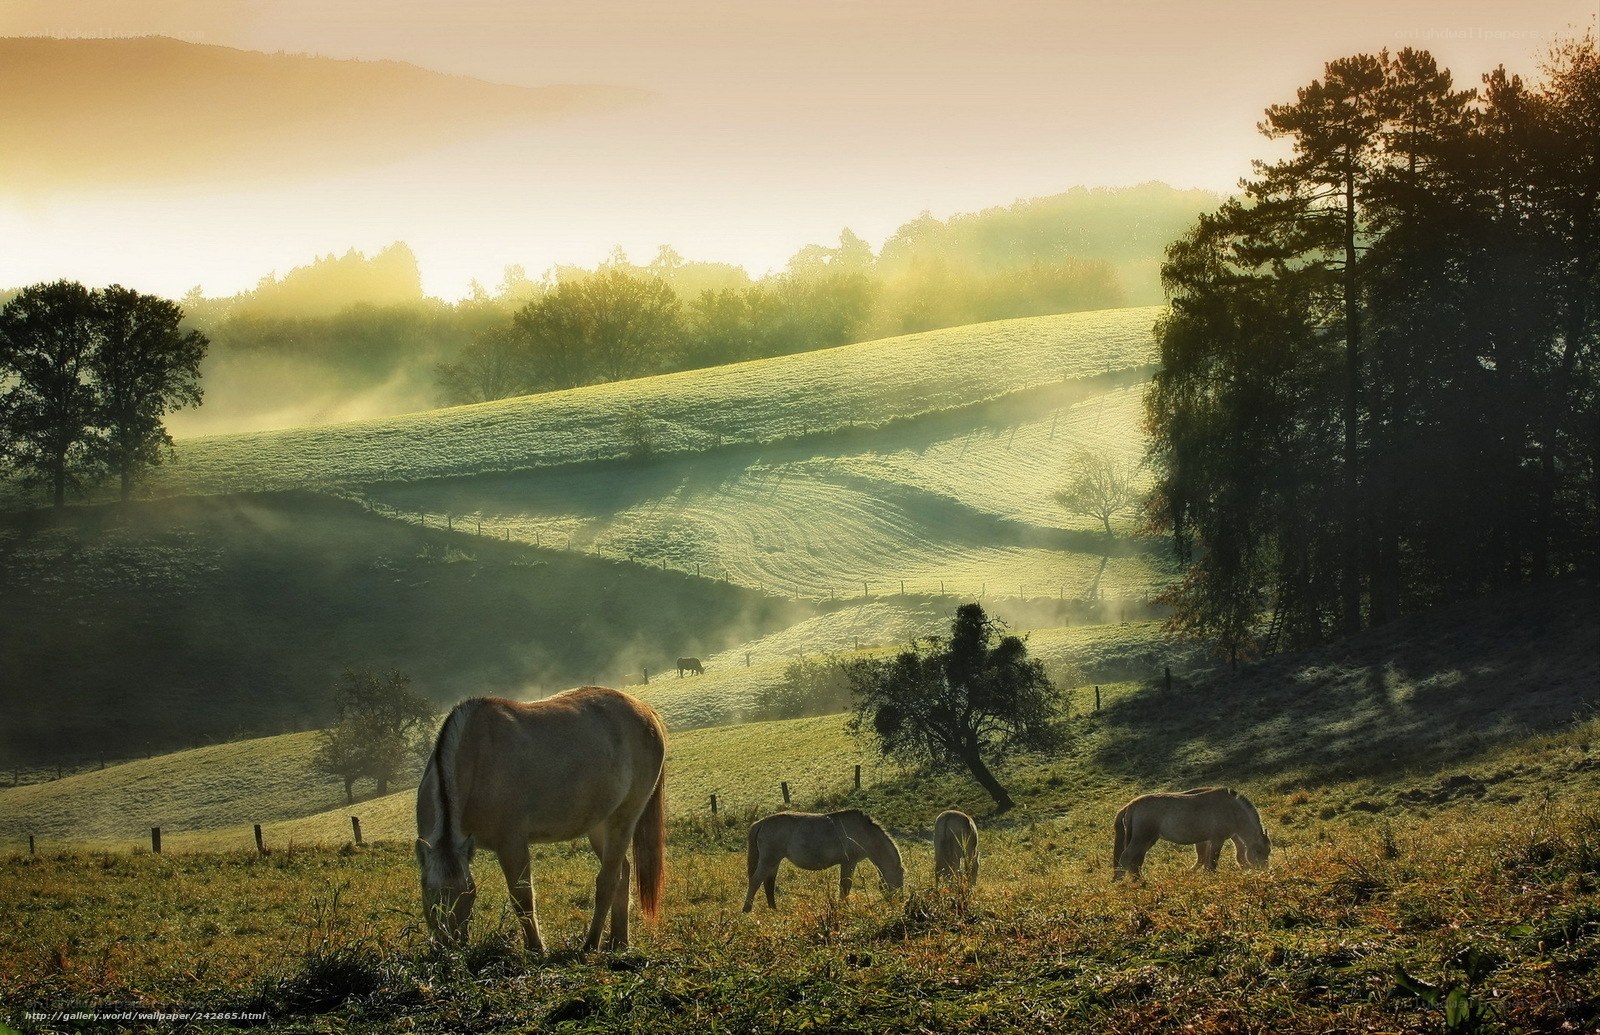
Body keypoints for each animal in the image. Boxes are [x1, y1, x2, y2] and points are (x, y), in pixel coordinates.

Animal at [415, 687, 667, 953]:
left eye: (469, 892)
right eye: (428, 890)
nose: (449, 944)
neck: (476, 760)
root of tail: (646, 711)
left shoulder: (511, 844)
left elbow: (522, 897)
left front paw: (536, 947)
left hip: (624, 818)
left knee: (608, 881)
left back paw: (591, 943)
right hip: (601, 826)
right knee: (623, 872)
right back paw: (618, 941)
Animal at [743, 809, 904, 911]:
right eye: (901, 880)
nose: (900, 903)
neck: (863, 832)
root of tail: (761, 823)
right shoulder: (848, 863)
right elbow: (845, 886)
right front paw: (844, 907)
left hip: (774, 861)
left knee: (768, 883)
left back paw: (774, 909)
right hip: (769, 859)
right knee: (756, 881)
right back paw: (747, 909)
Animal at [1112, 786, 1271, 881]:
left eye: (1269, 852)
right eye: (1258, 851)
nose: (1264, 870)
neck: (1232, 810)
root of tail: (1131, 805)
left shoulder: (1208, 841)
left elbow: (1205, 862)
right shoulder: (1217, 839)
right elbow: (1212, 863)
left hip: (1147, 840)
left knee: (1136, 861)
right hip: (1141, 839)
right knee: (1126, 857)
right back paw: (1121, 882)